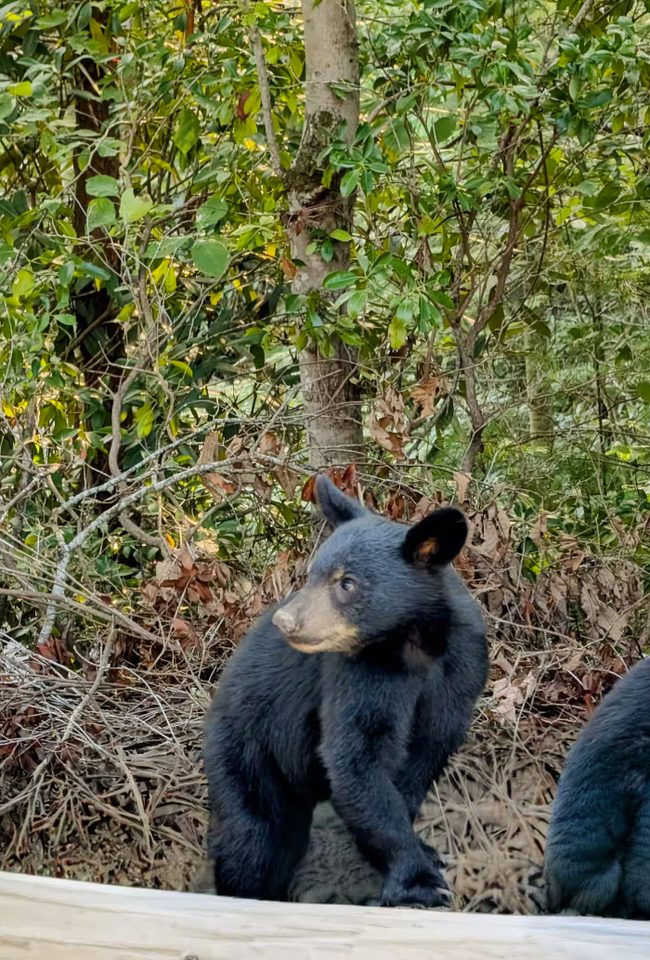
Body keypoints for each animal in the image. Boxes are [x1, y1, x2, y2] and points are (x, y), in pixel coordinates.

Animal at [203, 474, 488, 907]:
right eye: (312, 574)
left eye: (347, 583)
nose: (286, 621)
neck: (415, 642)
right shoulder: (362, 671)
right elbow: (356, 754)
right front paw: (418, 881)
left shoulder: (462, 670)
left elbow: (427, 750)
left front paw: (419, 853)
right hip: (246, 750)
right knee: (254, 835)